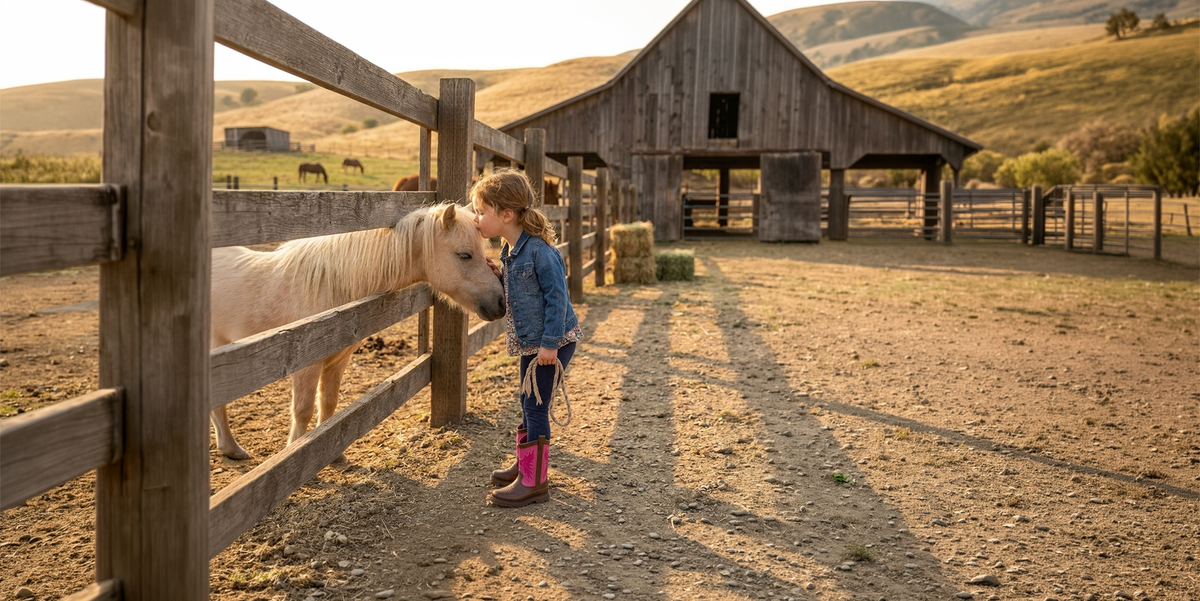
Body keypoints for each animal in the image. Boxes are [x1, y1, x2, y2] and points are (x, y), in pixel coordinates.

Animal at [209, 202, 506, 462]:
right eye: (464, 254)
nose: (501, 302)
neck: (331, 285)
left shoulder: (337, 361)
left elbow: (328, 403)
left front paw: (334, 456)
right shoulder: (306, 366)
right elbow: (303, 410)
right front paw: (295, 452)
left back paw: (230, 449)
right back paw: (232, 448)